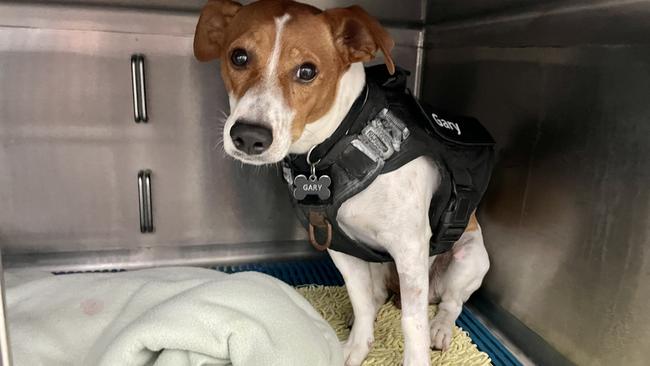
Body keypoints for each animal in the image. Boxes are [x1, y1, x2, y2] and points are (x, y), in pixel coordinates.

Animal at [191, 1, 486, 364]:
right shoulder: (340, 247)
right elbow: (360, 301)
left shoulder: (410, 248)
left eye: (307, 71)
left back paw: (441, 328)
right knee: (376, 295)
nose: (248, 136)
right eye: (239, 57)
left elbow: (412, 322)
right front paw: (357, 347)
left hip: (468, 259)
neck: (340, 142)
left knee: (450, 303)